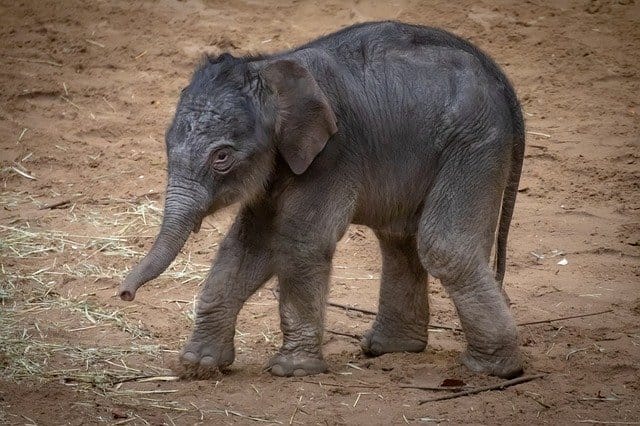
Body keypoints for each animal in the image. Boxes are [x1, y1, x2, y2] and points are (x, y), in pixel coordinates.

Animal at [118, 21, 525, 379]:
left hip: (474, 142)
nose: (124, 294)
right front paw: (198, 366)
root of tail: (501, 78)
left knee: (443, 247)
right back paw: (389, 349)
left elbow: (301, 242)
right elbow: (248, 245)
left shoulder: (333, 154)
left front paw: (291, 370)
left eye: (222, 157)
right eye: (167, 143)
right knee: (399, 238)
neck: (270, 67)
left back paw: (492, 370)